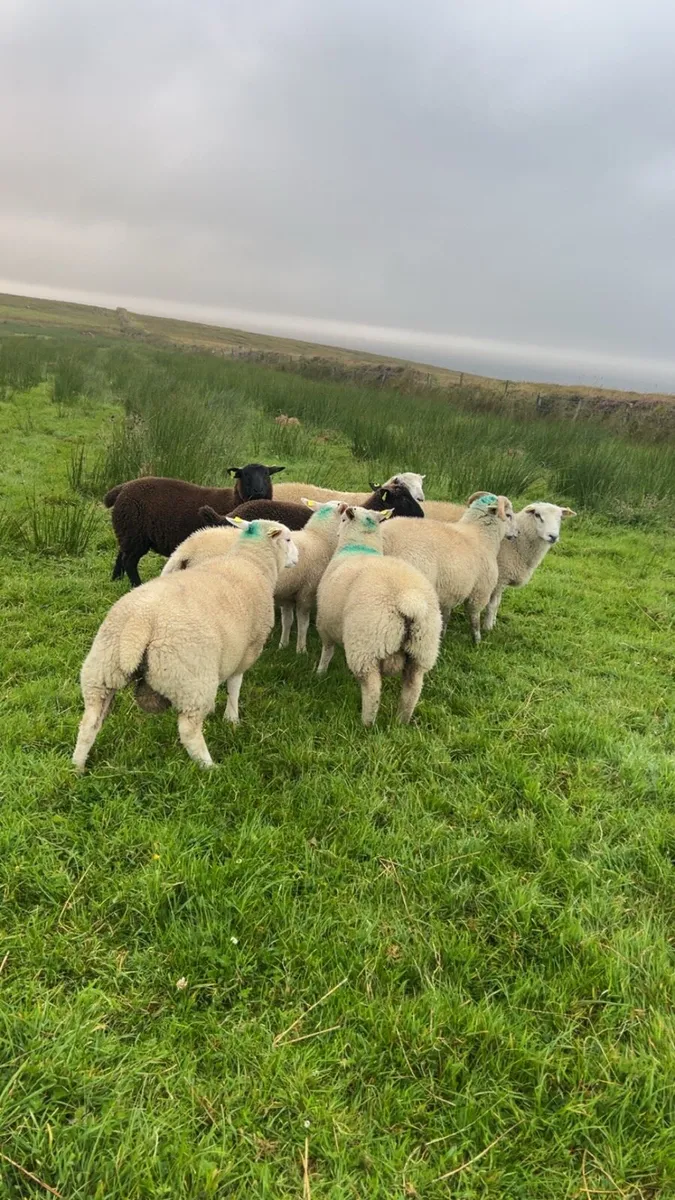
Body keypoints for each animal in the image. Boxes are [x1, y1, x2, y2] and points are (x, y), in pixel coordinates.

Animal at [72, 519, 298, 772]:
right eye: (288, 539)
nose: (297, 558)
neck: (252, 563)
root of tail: (139, 623)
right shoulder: (247, 649)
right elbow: (235, 685)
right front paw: (232, 718)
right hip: (191, 680)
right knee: (189, 730)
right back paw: (210, 767)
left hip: (101, 670)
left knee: (89, 723)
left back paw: (77, 768)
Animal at [104, 463, 286, 587]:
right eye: (245, 475)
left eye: (267, 474)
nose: (258, 491)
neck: (234, 500)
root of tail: (123, 488)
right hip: (135, 534)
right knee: (129, 561)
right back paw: (136, 584)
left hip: (128, 531)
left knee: (121, 555)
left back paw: (115, 580)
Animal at [315, 506, 442, 725]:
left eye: (342, 520)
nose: (337, 533)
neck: (359, 546)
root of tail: (408, 601)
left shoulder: (324, 623)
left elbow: (327, 651)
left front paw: (320, 672)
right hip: (422, 650)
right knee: (412, 689)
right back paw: (401, 721)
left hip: (366, 645)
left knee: (372, 689)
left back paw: (366, 723)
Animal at [381, 493, 517, 642]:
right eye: (508, 515)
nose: (517, 533)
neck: (482, 535)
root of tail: (386, 540)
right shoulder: (480, 591)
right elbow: (474, 618)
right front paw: (477, 640)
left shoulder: (450, 591)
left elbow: (445, 617)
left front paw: (443, 635)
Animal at [482, 502, 576, 632]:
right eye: (537, 515)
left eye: (561, 518)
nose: (553, 536)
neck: (517, 544)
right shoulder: (500, 578)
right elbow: (493, 605)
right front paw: (488, 627)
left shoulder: (503, 579)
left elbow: (498, 603)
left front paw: (494, 622)